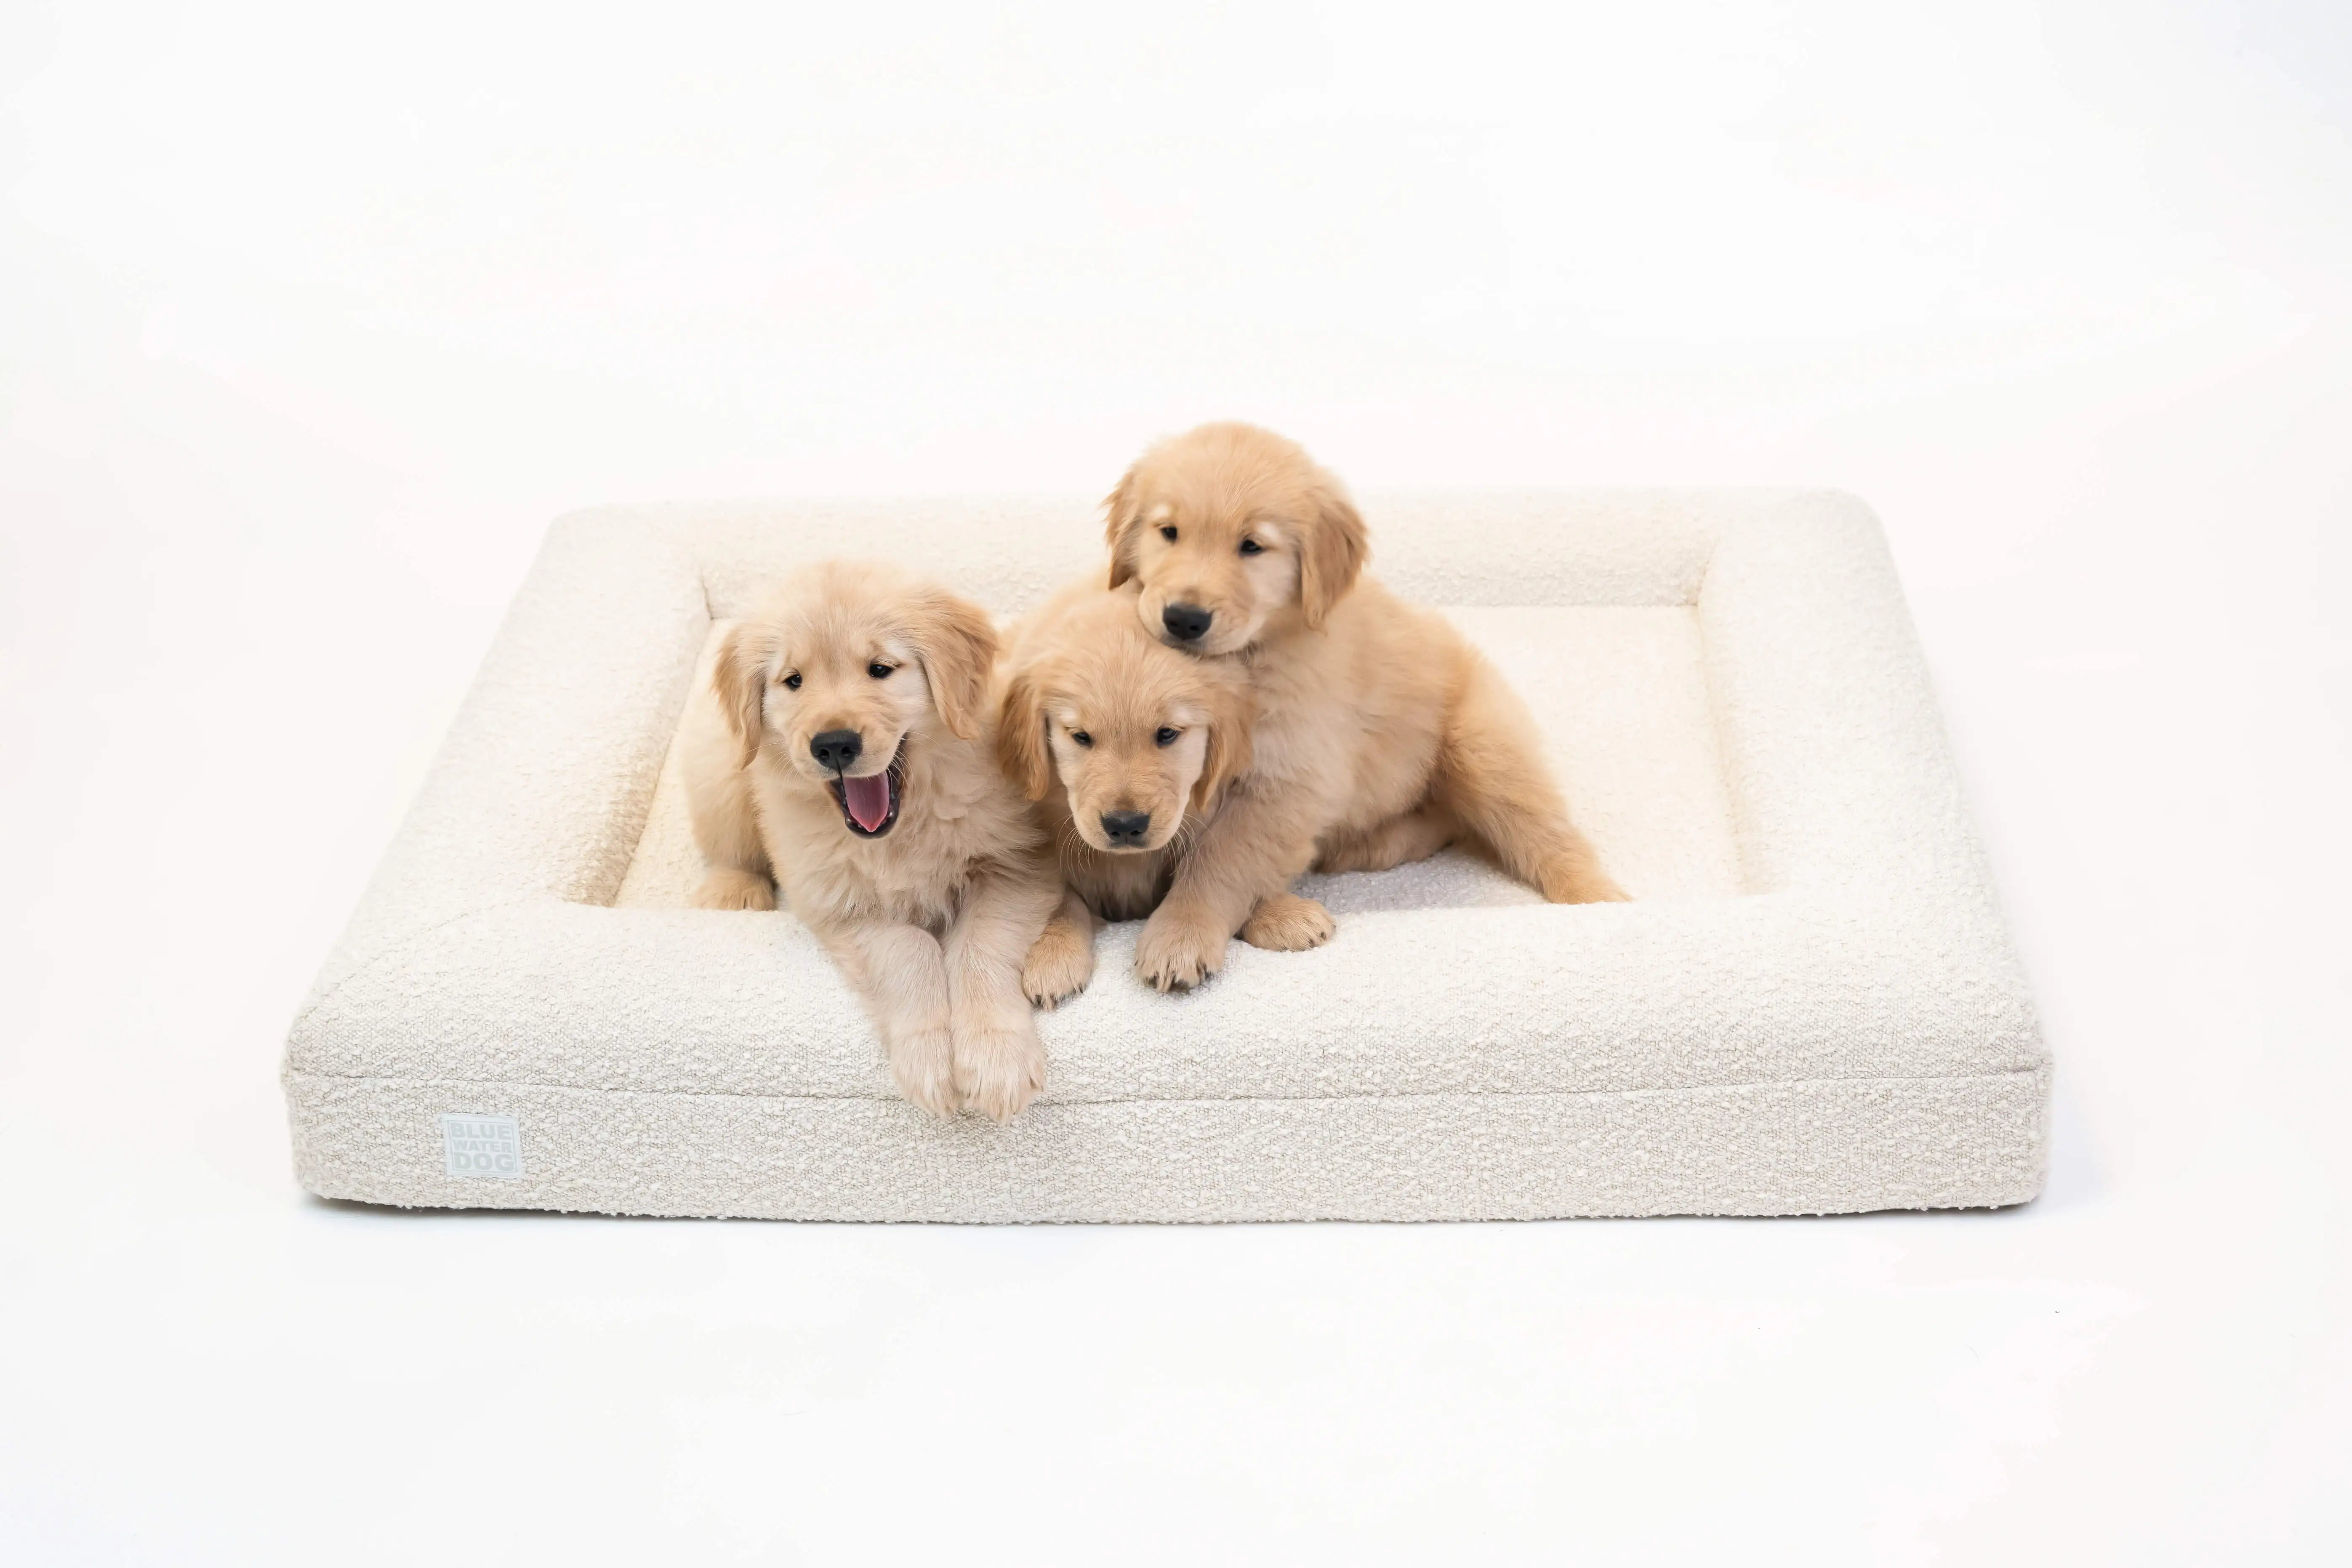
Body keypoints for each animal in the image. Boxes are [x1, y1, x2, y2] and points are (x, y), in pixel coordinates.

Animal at [687, 557, 1063, 1123]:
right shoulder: (841, 904)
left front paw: (996, 1058)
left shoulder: (1015, 866)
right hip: (723, 768)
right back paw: (735, 891)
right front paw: (930, 1060)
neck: (903, 826)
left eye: (880, 669)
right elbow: (909, 951)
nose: (833, 744)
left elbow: (979, 946)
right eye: (793, 681)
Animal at [1096, 421, 1618, 992]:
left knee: (1546, 834)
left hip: (1483, 746)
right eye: (1168, 532)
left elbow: (1221, 859)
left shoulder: (1286, 779)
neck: (1252, 654)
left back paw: (1604, 900)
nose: (1183, 618)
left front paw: (1180, 934)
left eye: (1251, 546)